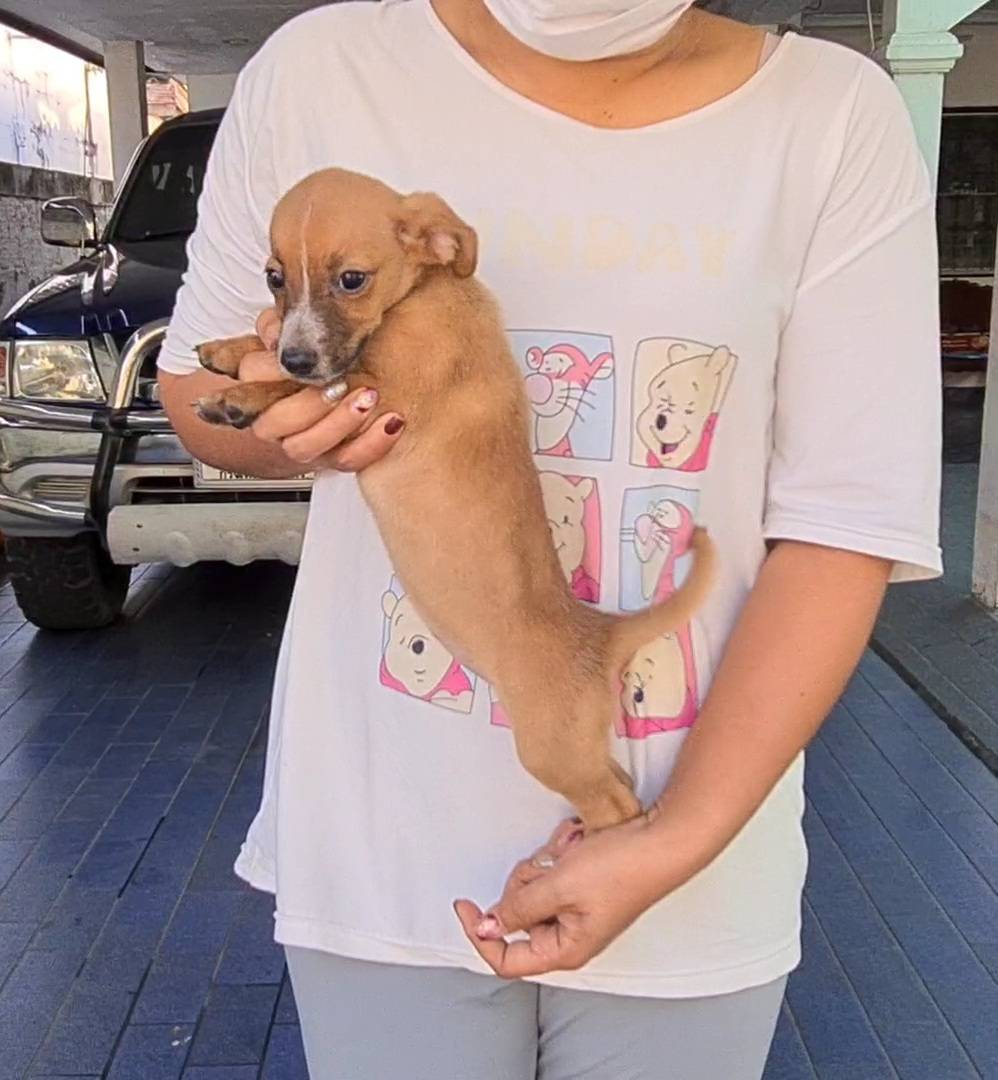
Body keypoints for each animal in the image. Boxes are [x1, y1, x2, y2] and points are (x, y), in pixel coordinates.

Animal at [194, 168, 715, 830]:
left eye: (352, 279)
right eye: (273, 277)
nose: (295, 353)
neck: (422, 294)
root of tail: (600, 635)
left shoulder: (383, 393)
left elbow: (312, 389)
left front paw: (243, 395)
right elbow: (292, 366)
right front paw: (230, 350)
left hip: (553, 750)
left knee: (619, 804)